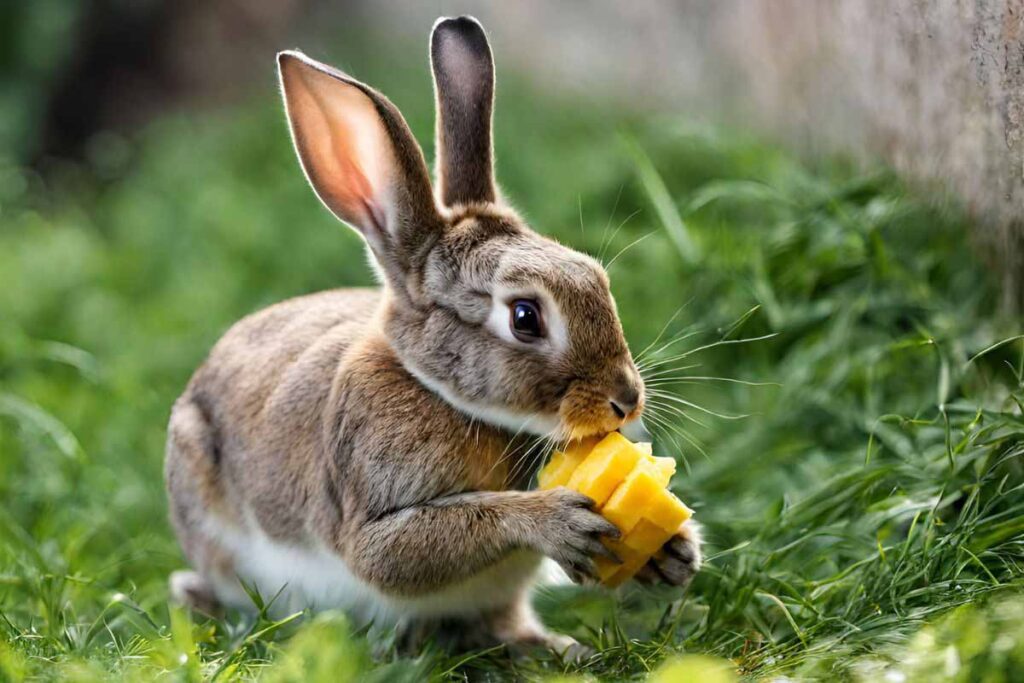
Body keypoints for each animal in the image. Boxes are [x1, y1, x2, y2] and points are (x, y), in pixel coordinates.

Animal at [163, 15, 700, 655]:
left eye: (596, 277)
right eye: (525, 317)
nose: (627, 401)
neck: (441, 393)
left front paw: (677, 554)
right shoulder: (372, 505)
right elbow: (399, 551)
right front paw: (555, 522)